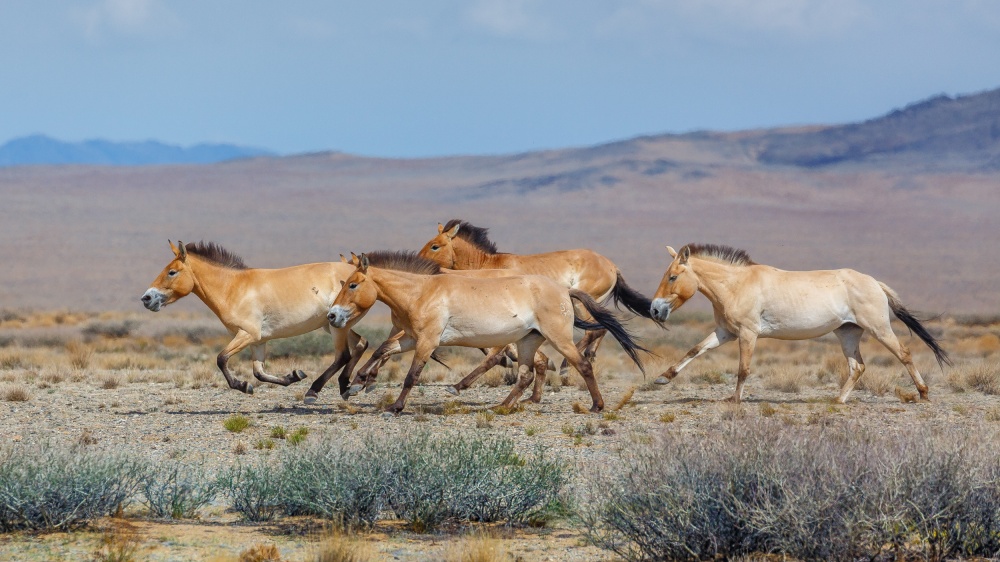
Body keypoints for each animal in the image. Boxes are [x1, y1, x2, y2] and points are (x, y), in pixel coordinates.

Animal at [141, 241, 368, 398]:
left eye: (172, 272)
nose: (146, 298)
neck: (233, 288)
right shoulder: (258, 341)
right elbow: (259, 372)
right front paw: (293, 376)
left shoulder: (247, 334)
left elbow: (221, 358)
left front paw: (243, 386)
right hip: (334, 324)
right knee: (361, 344)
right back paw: (348, 386)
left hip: (337, 327)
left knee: (343, 355)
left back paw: (315, 391)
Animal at [324, 249, 644, 412]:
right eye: (344, 283)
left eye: (353, 284)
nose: (332, 315)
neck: (421, 291)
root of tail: (565, 290)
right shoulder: (413, 339)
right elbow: (383, 350)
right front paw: (356, 384)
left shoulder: (427, 342)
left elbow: (412, 375)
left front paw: (396, 406)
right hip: (528, 341)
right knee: (526, 374)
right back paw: (502, 406)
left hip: (558, 338)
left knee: (582, 364)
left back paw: (597, 406)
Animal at [416, 219, 656, 376]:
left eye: (435, 245)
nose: (418, 263)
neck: (489, 265)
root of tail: (612, 266)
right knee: (602, 328)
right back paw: (587, 356)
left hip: (580, 303)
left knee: (596, 329)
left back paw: (565, 367)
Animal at [648, 243, 952, 400]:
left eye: (672, 277)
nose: (654, 310)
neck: (737, 284)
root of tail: (874, 282)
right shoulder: (726, 333)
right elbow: (694, 350)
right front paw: (662, 378)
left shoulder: (748, 333)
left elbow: (743, 369)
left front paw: (735, 400)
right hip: (847, 333)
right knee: (857, 367)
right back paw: (837, 401)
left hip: (878, 328)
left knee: (904, 353)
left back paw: (923, 393)